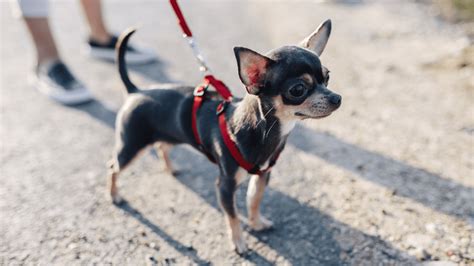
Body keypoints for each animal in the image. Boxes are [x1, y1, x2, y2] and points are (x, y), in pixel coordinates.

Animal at [108, 20, 340, 254]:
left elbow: (254, 200)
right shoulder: (225, 186)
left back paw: (170, 168)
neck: (265, 131)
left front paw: (256, 223)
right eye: (298, 89)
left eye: (327, 77)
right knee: (113, 167)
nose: (337, 98)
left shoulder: (262, 176)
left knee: (161, 147)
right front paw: (239, 242)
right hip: (131, 146)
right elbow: (234, 216)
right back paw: (114, 195)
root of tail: (136, 91)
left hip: (166, 135)